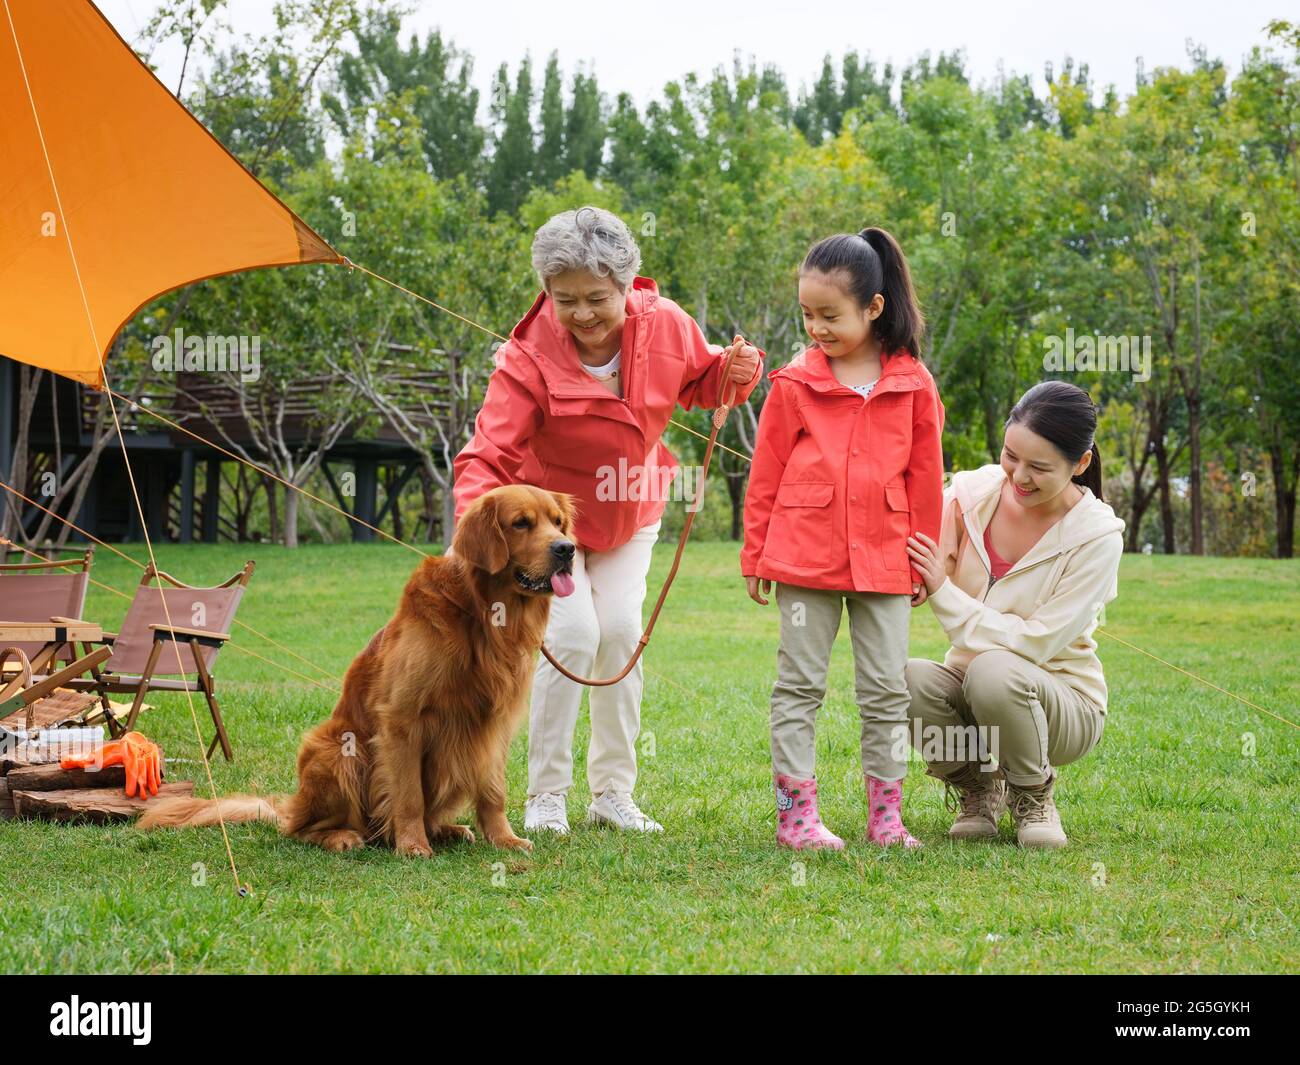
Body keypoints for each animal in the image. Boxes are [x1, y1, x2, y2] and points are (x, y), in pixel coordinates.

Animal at [137, 486, 574, 858]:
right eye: (521, 523)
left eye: (557, 522)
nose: (568, 549)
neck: (480, 613)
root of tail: (290, 805)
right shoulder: (401, 719)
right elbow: (409, 795)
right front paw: (412, 845)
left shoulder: (493, 724)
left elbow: (493, 791)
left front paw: (503, 839)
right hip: (336, 749)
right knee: (299, 830)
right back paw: (343, 836)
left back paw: (446, 829)